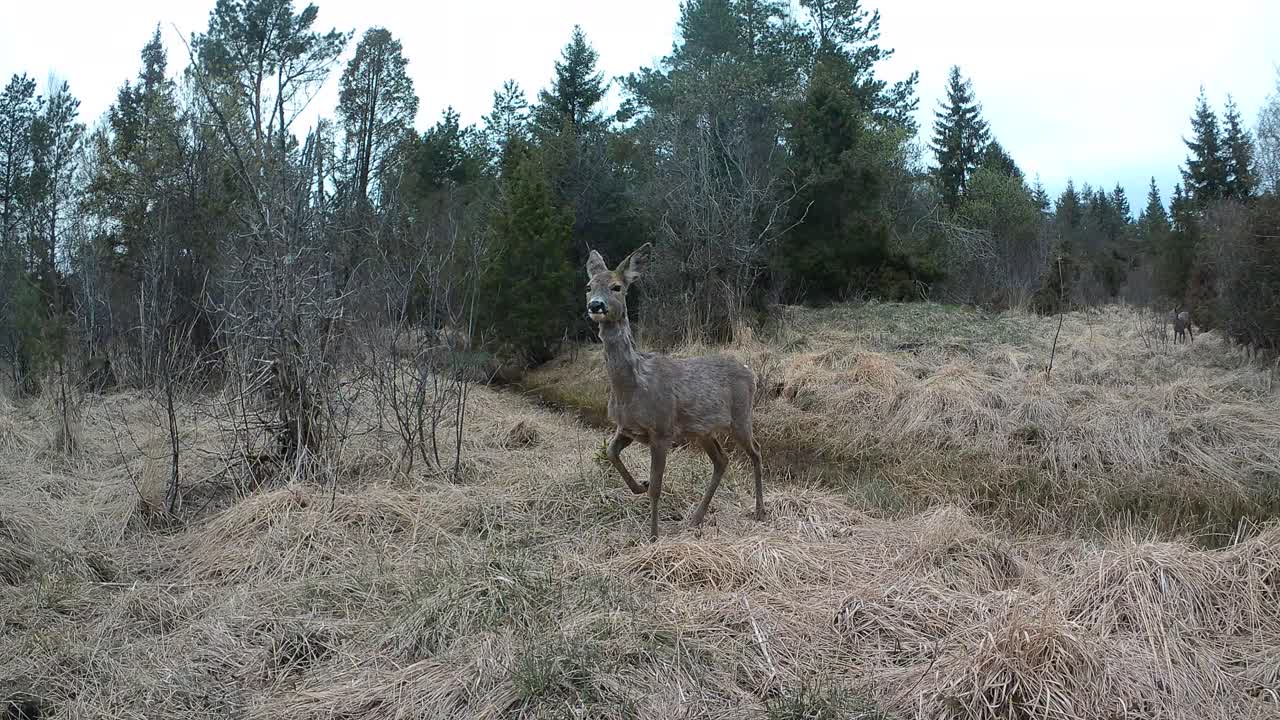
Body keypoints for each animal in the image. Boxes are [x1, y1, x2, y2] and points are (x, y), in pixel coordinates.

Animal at [585, 243, 765, 541]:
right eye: (588, 286)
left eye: (617, 286)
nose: (595, 305)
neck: (632, 388)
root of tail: (751, 371)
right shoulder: (627, 427)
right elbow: (610, 452)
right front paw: (639, 485)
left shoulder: (662, 429)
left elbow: (658, 486)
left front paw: (653, 536)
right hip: (703, 430)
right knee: (722, 460)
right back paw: (696, 518)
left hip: (741, 416)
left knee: (756, 452)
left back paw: (760, 510)